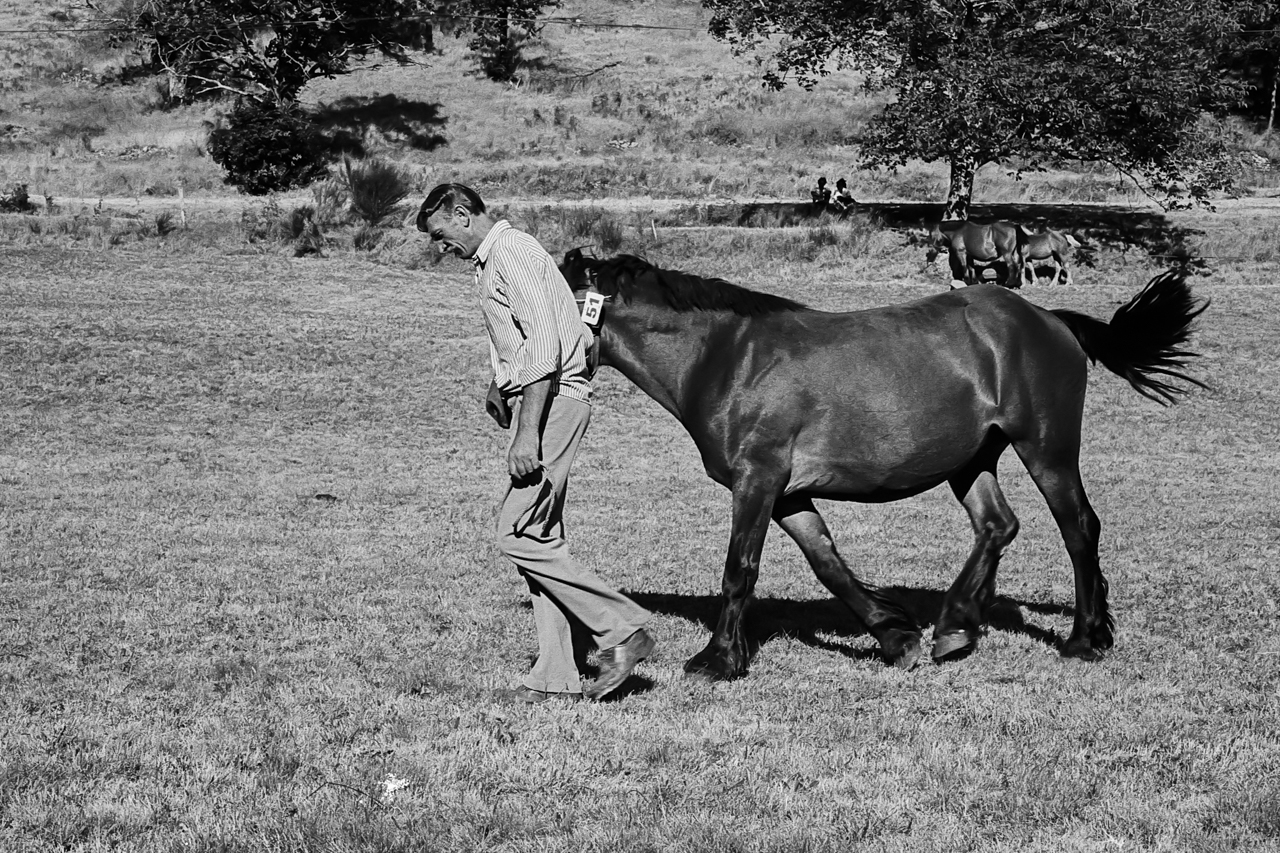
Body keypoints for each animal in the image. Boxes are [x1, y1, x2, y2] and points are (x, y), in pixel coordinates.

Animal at [563, 245, 1208, 676]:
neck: (726, 358)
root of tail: (1048, 319)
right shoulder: (788, 493)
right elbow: (828, 563)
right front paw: (895, 635)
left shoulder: (758, 481)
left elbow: (739, 568)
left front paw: (719, 659)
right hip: (970, 462)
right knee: (997, 526)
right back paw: (956, 626)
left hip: (1046, 448)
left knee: (1078, 528)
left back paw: (1082, 638)